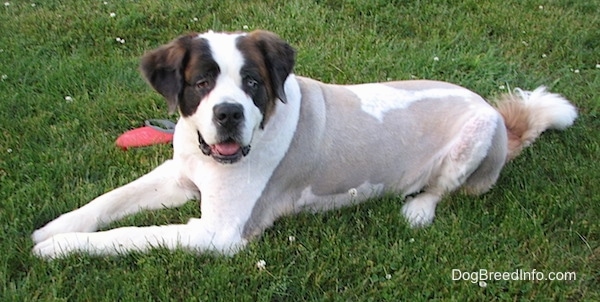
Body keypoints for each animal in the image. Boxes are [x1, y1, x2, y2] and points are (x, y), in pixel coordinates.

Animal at [31, 29, 576, 258]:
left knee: (443, 189)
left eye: (252, 82)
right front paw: (55, 228)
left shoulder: (218, 233)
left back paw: (418, 209)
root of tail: (493, 113)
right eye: (202, 81)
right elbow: (112, 201)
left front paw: (59, 249)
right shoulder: (179, 175)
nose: (228, 114)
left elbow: (129, 235)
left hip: (477, 135)